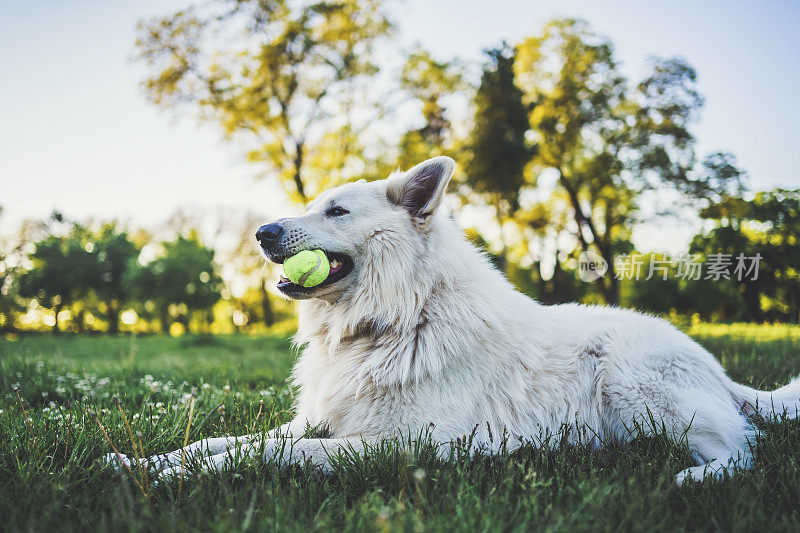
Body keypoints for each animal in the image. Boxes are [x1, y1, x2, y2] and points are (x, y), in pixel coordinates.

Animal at [112, 156, 800, 484]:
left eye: (336, 211)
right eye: (312, 206)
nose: (261, 233)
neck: (398, 317)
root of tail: (718, 369)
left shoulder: (401, 444)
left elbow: (281, 455)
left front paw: (192, 473)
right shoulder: (318, 421)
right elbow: (225, 441)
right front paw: (147, 464)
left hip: (634, 383)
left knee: (744, 446)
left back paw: (696, 478)